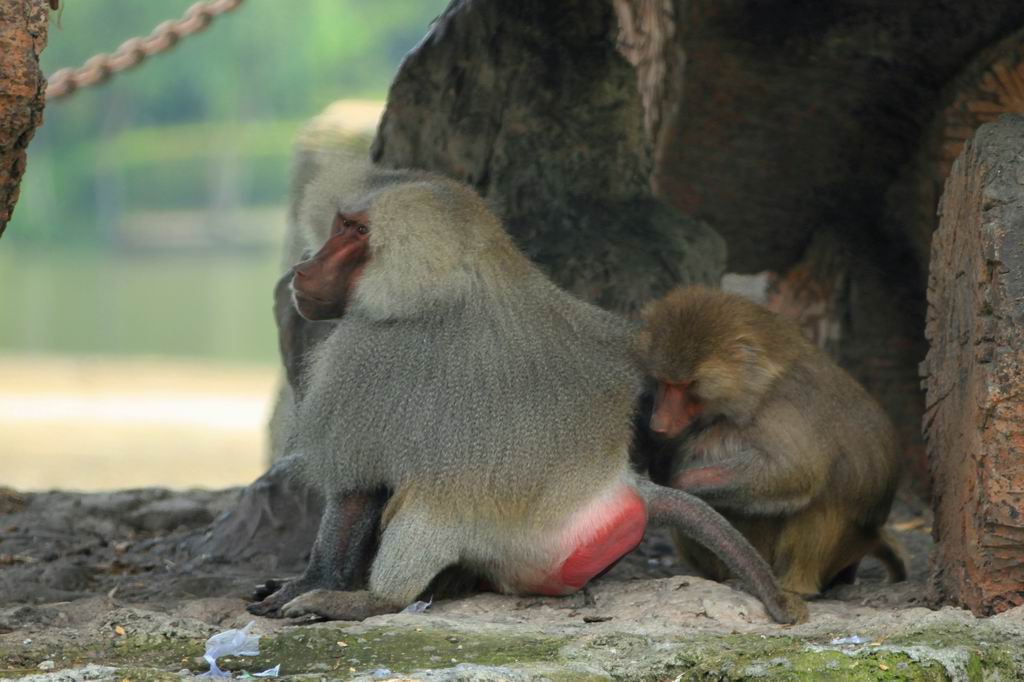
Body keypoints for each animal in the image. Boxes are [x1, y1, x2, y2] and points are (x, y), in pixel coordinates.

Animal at [243, 155, 802, 622]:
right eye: (341, 224)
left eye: (357, 231)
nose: (302, 269)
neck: (456, 273)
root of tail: (619, 484)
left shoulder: (367, 355)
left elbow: (358, 483)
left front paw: (314, 586)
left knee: (433, 497)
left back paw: (373, 601)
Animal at [634, 284, 909, 593]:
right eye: (663, 382)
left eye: (687, 386)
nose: (659, 423)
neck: (759, 383)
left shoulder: (782, 410)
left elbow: (794, 473)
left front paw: (683, 482)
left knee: (817, 503)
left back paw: (793, 586)